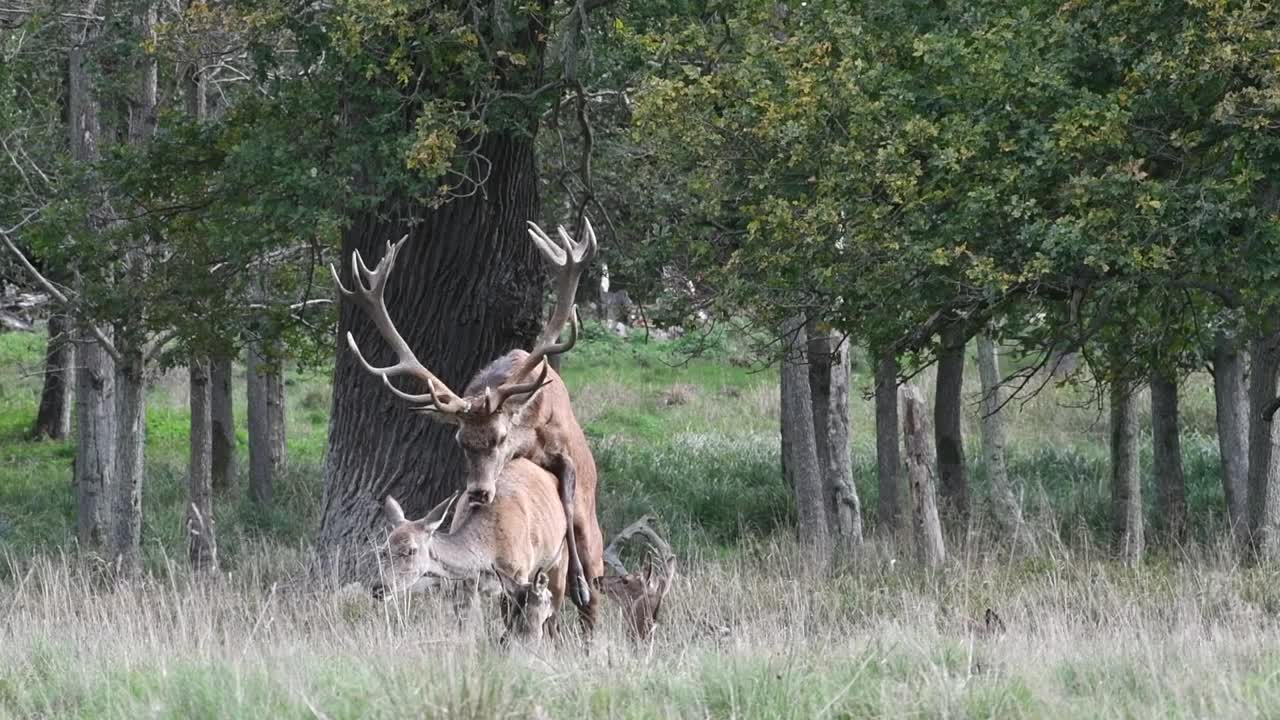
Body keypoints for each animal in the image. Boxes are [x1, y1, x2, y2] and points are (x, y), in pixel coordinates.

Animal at [371, 453, 570, 638]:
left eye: (411, 550)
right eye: (382, 551)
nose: (378, 588)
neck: (491, 550)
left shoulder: (520, 573)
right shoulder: (467, 583)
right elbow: (469, 628)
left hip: (560, 561)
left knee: (554, 614)